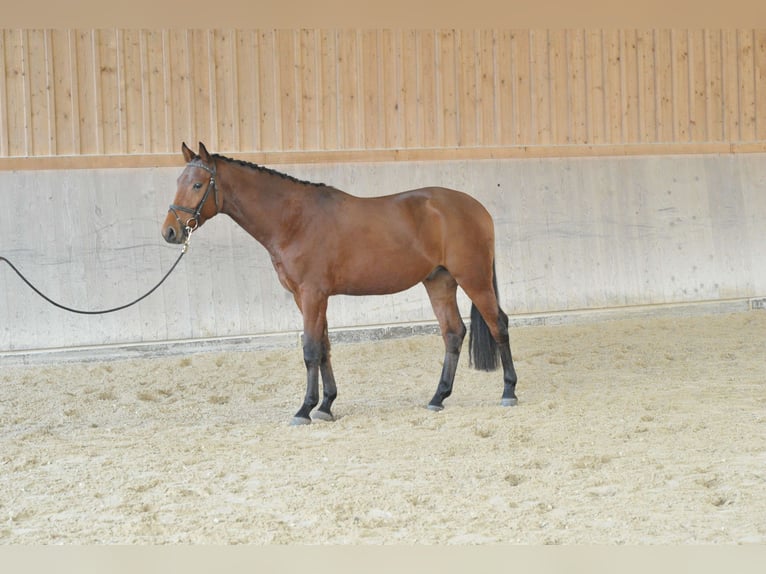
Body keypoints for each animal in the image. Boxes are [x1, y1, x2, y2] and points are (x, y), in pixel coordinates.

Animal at [162, 142, 518, 425]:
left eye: (197, 184)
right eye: (177, 181)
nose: (170, 232)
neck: (294, 220)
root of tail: (477, 208)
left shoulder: (312, 295)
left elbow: (310, 349)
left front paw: (304, 410)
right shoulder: (306, 297)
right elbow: (324, 347)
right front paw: (325, 406)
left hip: (473, 278)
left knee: (498, 325)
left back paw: (508, 391)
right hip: (439, 282)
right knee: (453, 333)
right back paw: (437, 398)